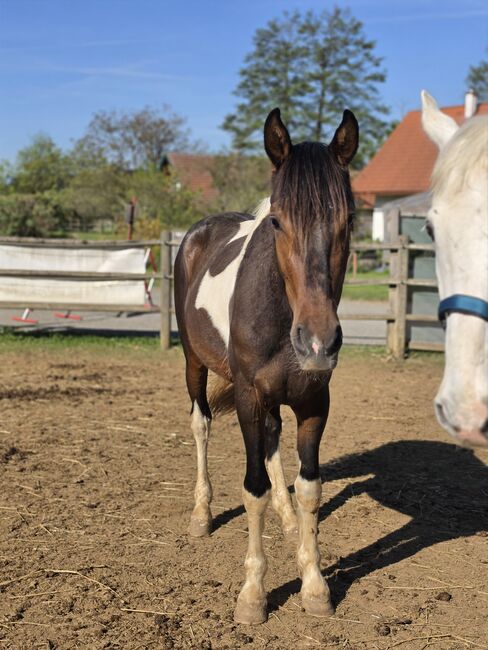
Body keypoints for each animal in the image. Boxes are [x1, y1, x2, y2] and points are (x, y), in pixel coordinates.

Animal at [174, 107, 358, 624]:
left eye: (350, 219)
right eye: (277, 221)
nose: (317, 342)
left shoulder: (314, 400)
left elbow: (310, 487)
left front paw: (314, 585)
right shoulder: (249, 397)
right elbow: (252, 488)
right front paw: (253, 594)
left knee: (275, 445)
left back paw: (288, 516)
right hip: (194, 362)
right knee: (201, 424)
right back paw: (202, 515)